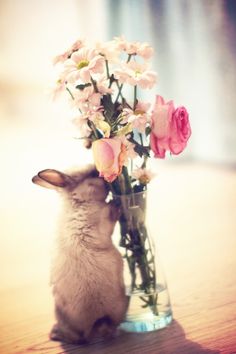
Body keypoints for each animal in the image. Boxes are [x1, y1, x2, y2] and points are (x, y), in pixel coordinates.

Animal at [32, 165, 128, 342]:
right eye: (93, 174)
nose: (110, 177)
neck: (79, 201)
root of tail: (99, 321)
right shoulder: (102, 222)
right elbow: (109, 217)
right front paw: (115, 203)